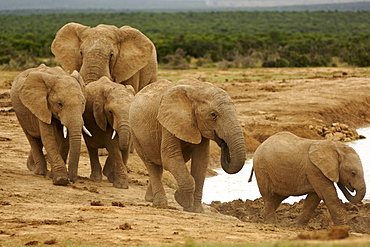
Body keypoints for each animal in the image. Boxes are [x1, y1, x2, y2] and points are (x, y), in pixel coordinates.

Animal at [129, 77, 247, 212]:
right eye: (213, 115)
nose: (223, 142)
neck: (198, 88)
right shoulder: (169, 121)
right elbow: (171, 158)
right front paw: (182, 200)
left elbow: (201, 160)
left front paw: (196, 210)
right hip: (135, 134)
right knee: (151, 165)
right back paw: (160, 204)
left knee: (158, 166)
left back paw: (150, 199)